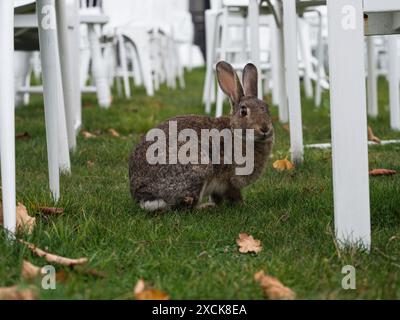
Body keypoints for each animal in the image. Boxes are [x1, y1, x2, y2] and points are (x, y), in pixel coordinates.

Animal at [130, 61, 274, 211]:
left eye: (267, 108)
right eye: (244, 111)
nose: (265, 128)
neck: (236, 131)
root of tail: (144, 195)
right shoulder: (230, 180)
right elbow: (234, 194)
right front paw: (243, 204)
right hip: (197, 166)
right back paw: (206, 207)